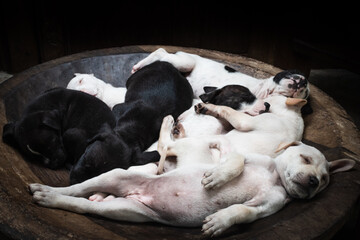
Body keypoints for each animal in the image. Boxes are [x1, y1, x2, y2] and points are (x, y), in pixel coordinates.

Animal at [28, 117, 354, 236]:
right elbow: (235, 159)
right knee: (164, 145)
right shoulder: (229, 150)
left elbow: (243, 212)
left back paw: (53, 197)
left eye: (325, 180)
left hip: (126, 210)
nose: (313, 182)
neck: (273, 176)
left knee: (83, 203)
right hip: (119, 174)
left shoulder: (266, 205)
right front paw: (217, 178)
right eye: (305, 159)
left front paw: (220, 221)